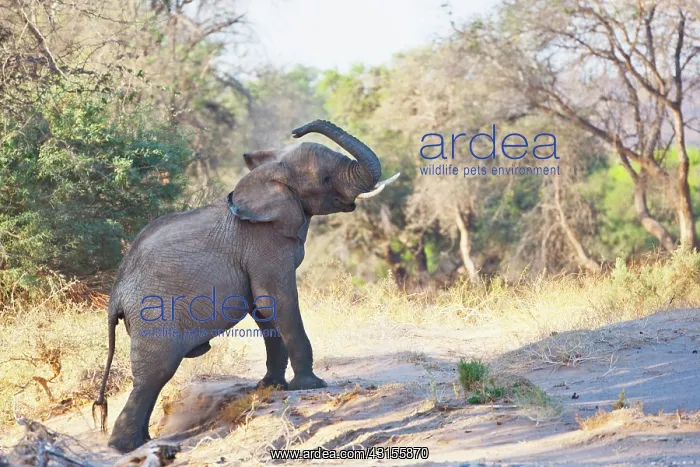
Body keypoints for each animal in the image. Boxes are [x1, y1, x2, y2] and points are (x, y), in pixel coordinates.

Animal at [92, 120, 399, 453]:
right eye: (325, 178)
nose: (296, 130)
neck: (270, 175)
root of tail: (116, 296)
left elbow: (264, 311)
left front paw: (272, 387)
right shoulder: (264, 242)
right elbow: (277, 300)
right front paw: (311, 385)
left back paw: (140, 442)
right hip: (154, 314)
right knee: (155, 373)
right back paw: (126, 446)